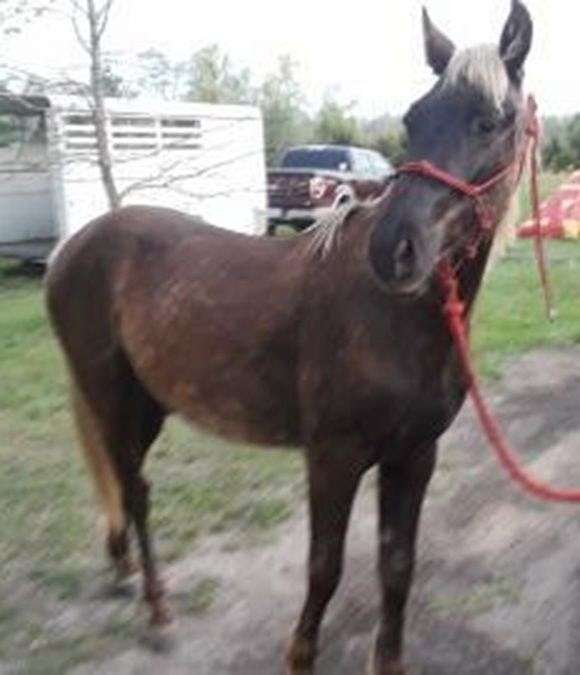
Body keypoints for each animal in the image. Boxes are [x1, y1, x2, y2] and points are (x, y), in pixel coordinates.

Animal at [45, 1, 534, 672]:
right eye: (413, 118)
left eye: (492, 121)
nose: (394, 251)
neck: (396, 321)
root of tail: (73, 247)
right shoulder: (332, 457)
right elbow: (324, 569)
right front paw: (300, 654)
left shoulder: (414, 456)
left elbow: (397, 567)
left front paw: (388, 660)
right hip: (113, 399)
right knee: (136, 491)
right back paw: (158, 612)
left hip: (146, 402)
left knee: (124, 486)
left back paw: (123, 573)